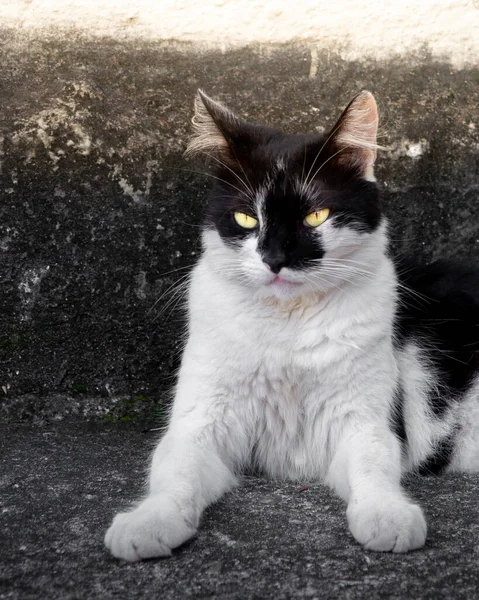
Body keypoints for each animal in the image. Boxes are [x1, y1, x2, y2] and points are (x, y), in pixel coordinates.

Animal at [105, 91, 479, 560]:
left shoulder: (363, 420)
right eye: (247, 219)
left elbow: (374, 465)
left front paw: (388, 517)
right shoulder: (201, 420)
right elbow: (175, 471)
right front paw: (149, 522)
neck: (288, 323)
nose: (274, 258)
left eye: (316, 216)